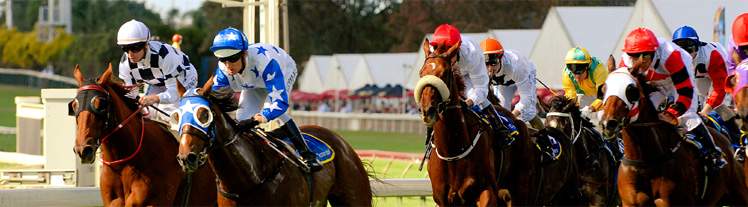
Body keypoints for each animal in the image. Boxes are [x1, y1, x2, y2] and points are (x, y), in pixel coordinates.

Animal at [414, 39, 580, 206]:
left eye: (444, 73)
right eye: (421, 73)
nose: (427, 110)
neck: (454, 150)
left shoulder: (486, 191)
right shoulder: (442, 199)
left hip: (523, 191)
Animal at [600, 67, 748, 205]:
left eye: (631, 90)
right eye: (604, 89)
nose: (609, 123)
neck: (645, 161)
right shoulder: (629, 202)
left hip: (738, 192)